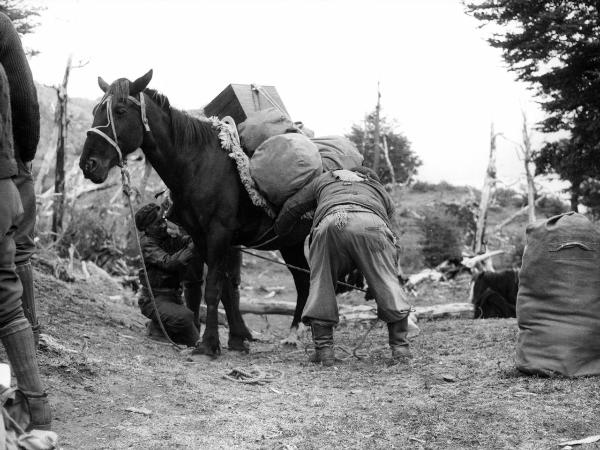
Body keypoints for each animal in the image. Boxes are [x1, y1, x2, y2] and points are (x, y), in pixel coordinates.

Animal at [78, 70, 310, 356]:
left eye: (120, 111)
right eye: (95, 111)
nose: (88, 164)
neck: (198, 165)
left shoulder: (219, 234)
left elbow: (213, 289)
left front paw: (210, 344)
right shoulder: (200, 236)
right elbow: (221, 289)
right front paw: (235, 339)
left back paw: (297, 335)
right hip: (291, 242)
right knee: (304, 281)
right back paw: (295, 334)